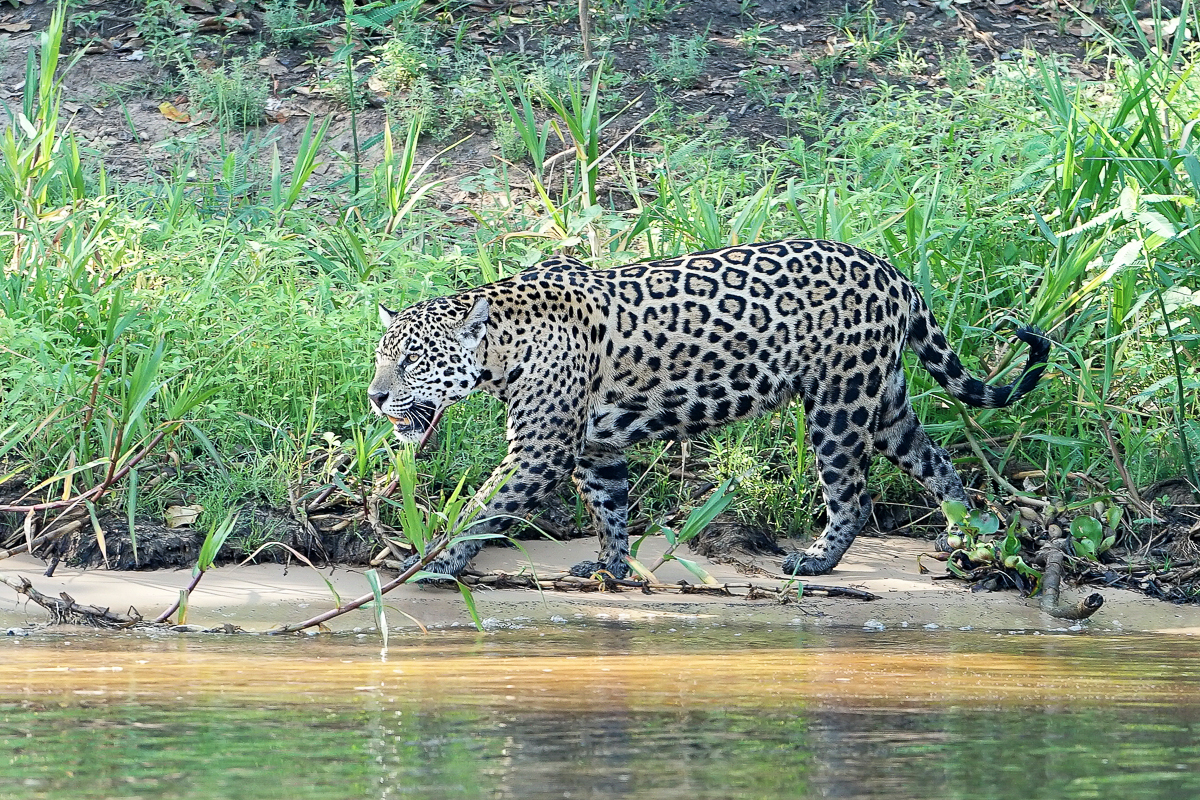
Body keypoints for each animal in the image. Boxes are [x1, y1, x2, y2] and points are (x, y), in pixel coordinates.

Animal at [368, 239, 1050, 579]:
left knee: (853, 494)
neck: (503, 346)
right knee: (935, 460)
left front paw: (434, 563)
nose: (375, 396)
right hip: (882, 403)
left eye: (413, 362)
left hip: (838, 404)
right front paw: (611, 569)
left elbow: (480, 512)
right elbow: (610, 510)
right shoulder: (593, 448)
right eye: (381, 358)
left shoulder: (537, 454)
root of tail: (892, 270)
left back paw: (816, 561)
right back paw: (963, 532)